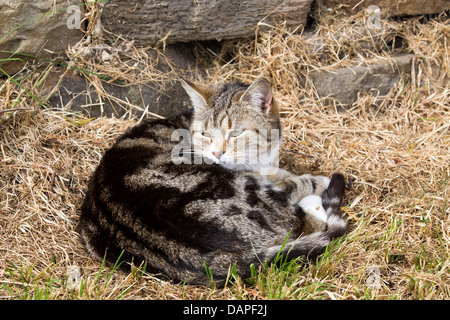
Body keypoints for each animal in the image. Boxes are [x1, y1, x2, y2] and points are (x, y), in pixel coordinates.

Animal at [78, 78, 348, 284]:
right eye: (206, 134)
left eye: (236, 132)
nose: (217, 153)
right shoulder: (256, 178)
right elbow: (291, 184)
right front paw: (314, 180)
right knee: (310, 222)